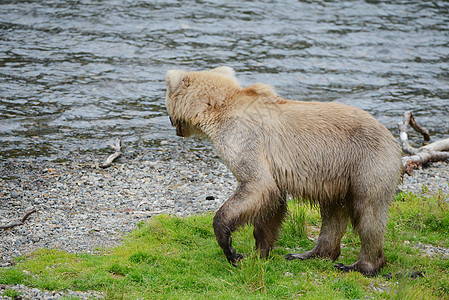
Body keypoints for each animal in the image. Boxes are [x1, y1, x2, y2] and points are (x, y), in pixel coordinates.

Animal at [164, 66, 402, 276]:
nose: (173, 126)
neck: (217, 111)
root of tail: (392, 138)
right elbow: (271, 204)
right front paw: (257, 253)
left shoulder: (244, 139)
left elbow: (256, 184)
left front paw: (230, 249)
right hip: (338, 175)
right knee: (333, 214)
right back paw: (309, 254)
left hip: (367, 163)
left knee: (369, 213)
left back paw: (361, 266)